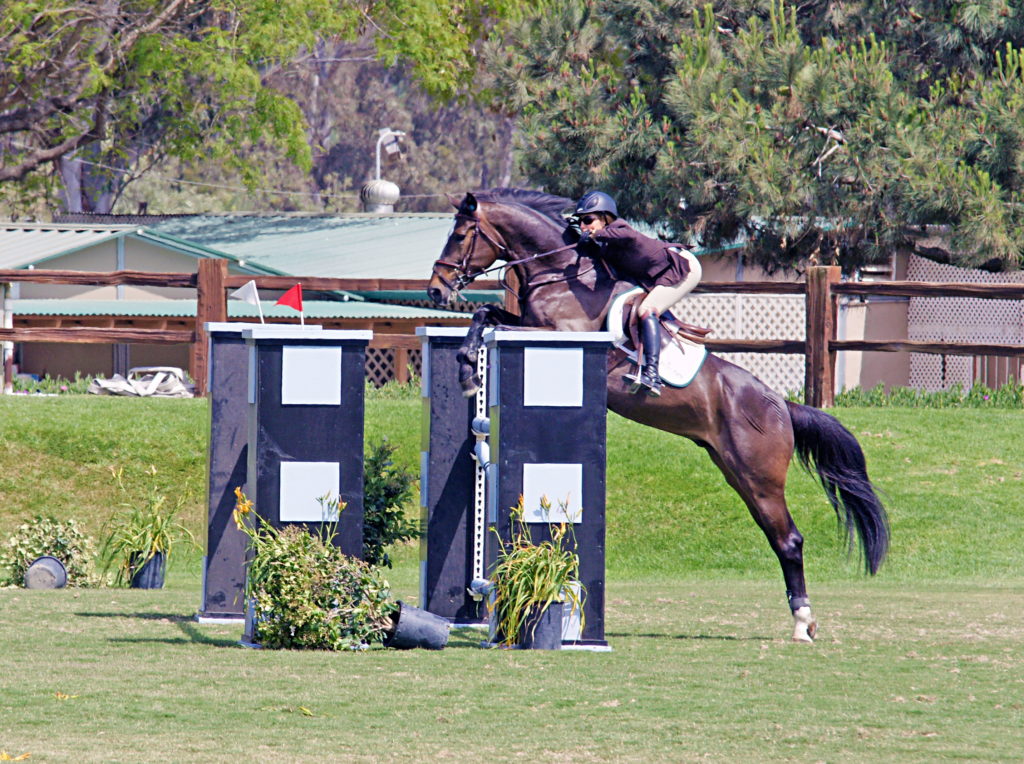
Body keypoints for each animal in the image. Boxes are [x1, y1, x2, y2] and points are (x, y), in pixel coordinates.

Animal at [423, 187, 888, 639]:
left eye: (460, 235)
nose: (435, 291)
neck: (561, 273)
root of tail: (782, 405)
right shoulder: (527, 320)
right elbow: (487, 313)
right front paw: (467, 365)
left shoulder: (555, 333)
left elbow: (493, 320)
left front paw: (468, 366)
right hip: (736, 472)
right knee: (778, 537)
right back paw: (802, 618)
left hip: (761, 478)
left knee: (789, 540)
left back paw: (802, 622)